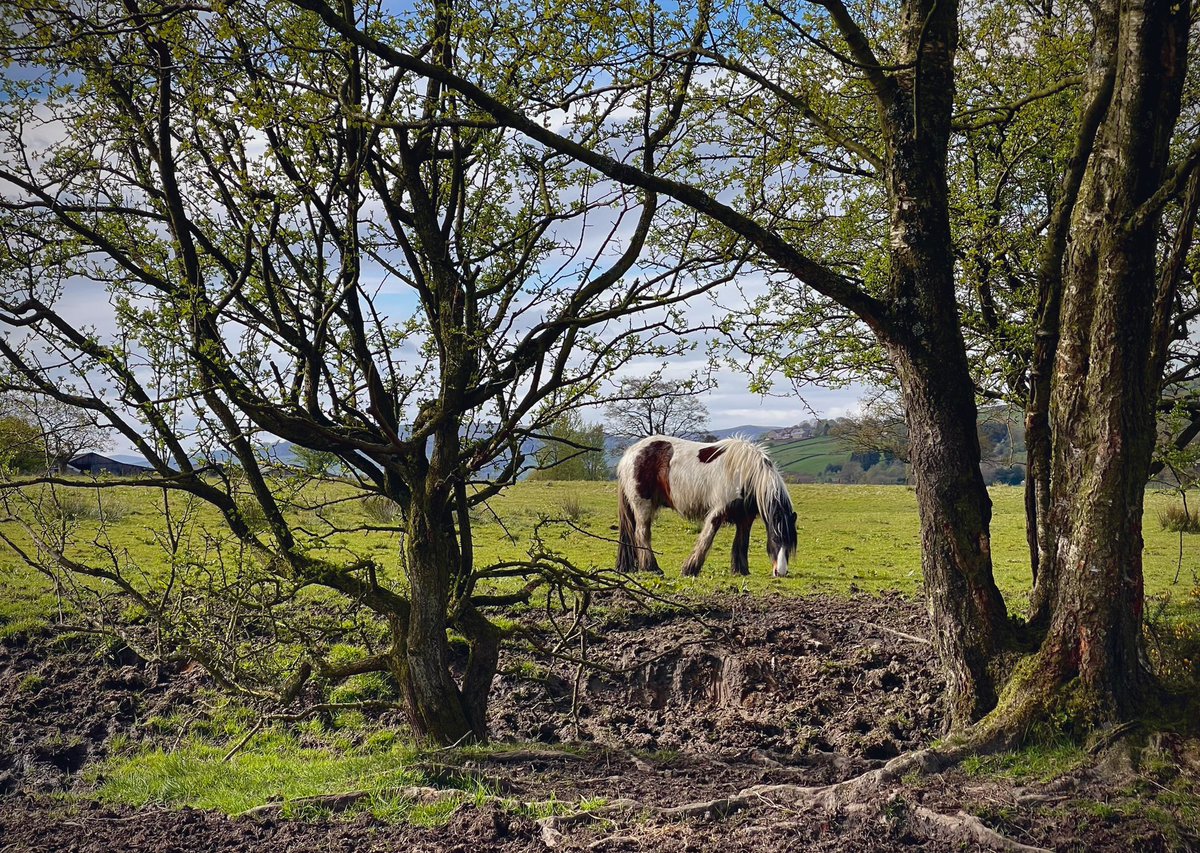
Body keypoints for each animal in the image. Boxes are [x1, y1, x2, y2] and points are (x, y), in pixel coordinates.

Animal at [619, 434, 796, 580]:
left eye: (791, 543)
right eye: (775, 539)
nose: (780, 572)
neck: (745, 473)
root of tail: (630, 453)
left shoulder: (745, 519)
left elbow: (742, 543)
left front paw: (741, 571)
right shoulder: (716, 513)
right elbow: (706, 540)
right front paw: (690, 569)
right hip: (643, 506)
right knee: (642, 534)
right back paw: (652, 568)